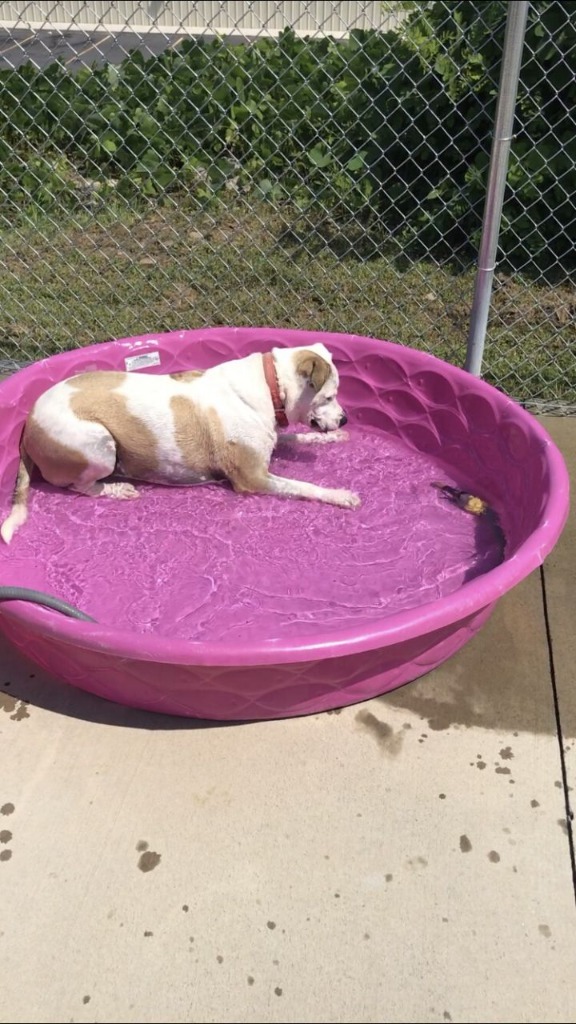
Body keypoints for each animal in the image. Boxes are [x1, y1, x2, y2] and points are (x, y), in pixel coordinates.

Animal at [0, 339, 358, 544]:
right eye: (329, 396)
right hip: (98, 444)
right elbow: (304, 486)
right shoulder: (253, 478)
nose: (344, 420)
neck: (270, 385)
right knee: (80, 486)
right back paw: (116, 489)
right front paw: (340, 495)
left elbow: (291, 437)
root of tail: (28, 425)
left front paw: (329, 438)